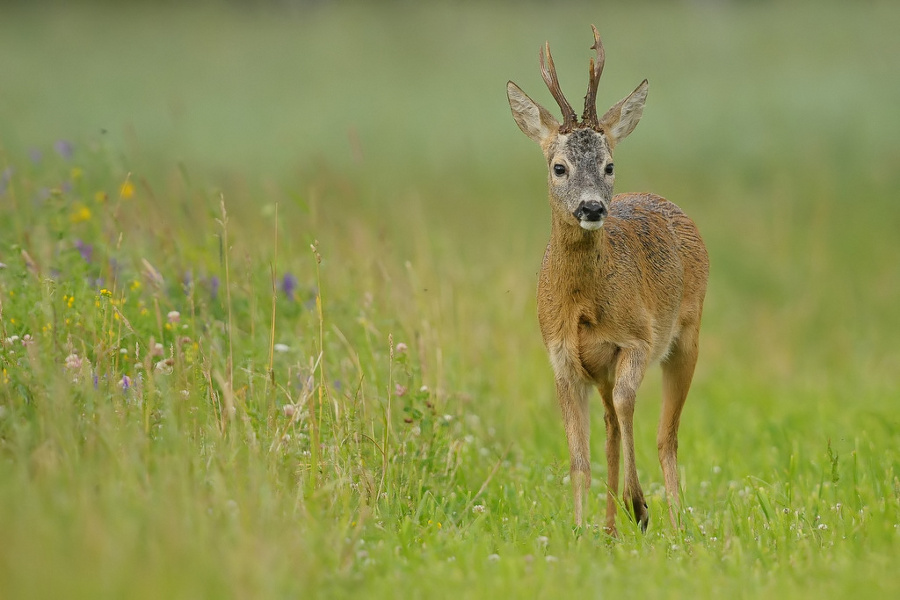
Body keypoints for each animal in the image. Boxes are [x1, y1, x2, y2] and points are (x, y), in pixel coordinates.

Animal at [506, 25, 712, 532]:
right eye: (558, 166)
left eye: (609, 165)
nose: (593, 207)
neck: (583, 304)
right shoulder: (562, 358)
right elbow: (579, 457)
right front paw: (582, 530)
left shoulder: (636, 340)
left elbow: (626, 406)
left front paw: (639, 505)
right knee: (611, 431)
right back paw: (609, 527)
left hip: (687, 335)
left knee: (664, 434)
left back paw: (673, 523)